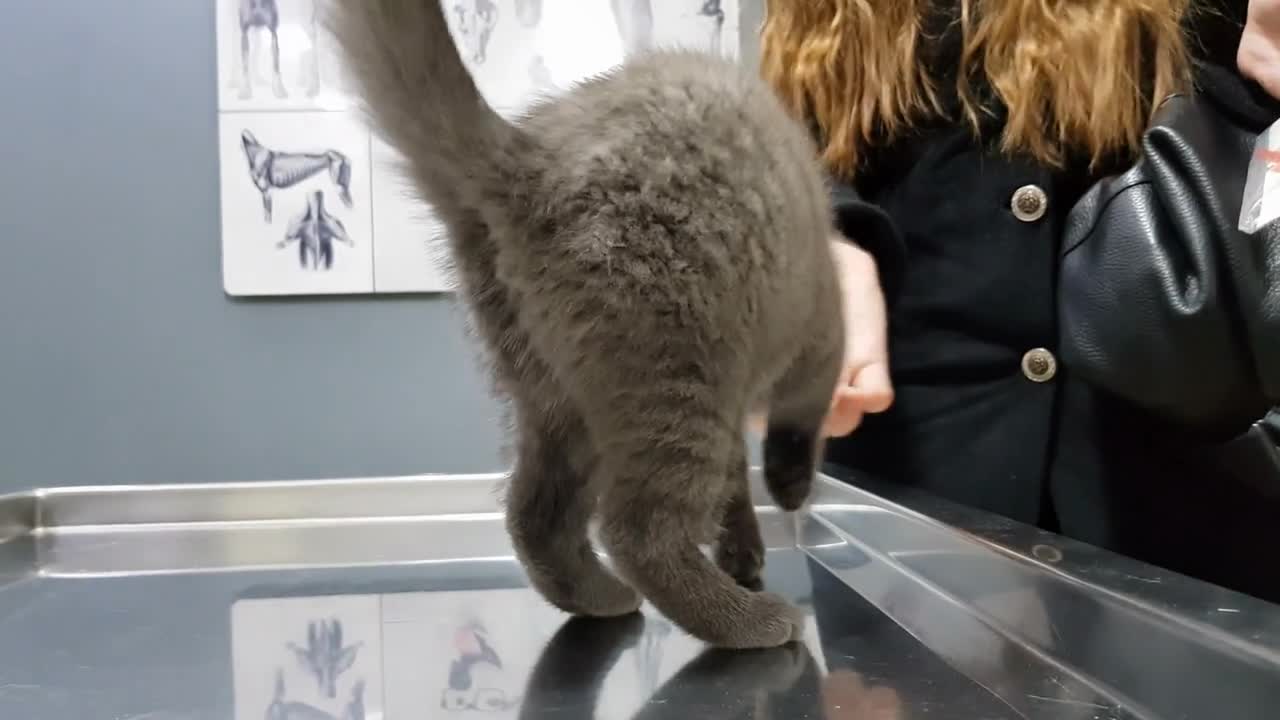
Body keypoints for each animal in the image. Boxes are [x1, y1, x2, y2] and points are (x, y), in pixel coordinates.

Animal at [332, 0, 839, 648]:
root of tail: (527, 156)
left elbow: (733, 484)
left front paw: (742, 548)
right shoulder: (819, 340)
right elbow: (798, 422)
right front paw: (783, 495)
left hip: (552, 391)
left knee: (533, 513)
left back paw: (598, 598)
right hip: (676, 370)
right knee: (639, 532)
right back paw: (750, 621)